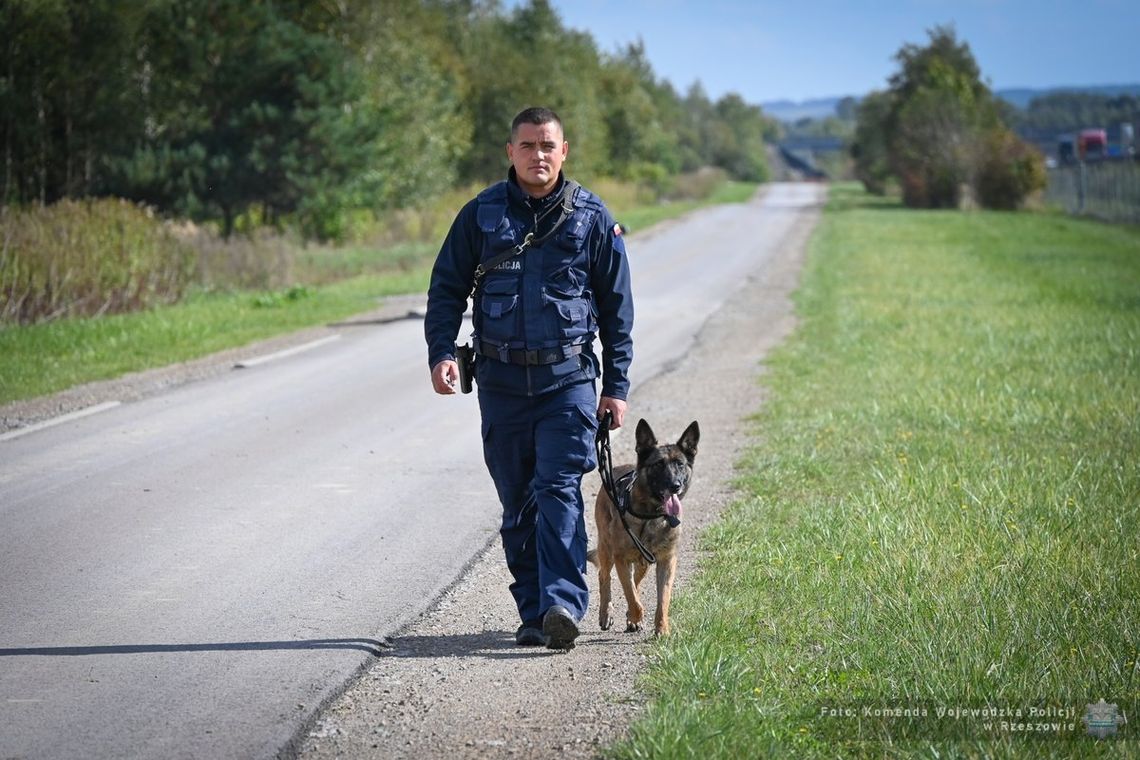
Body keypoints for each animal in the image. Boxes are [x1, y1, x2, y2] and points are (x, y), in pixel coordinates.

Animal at [592, 421, 697, 638]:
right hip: (607, 549)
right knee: (604, 577)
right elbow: (631, 596)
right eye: (658, 464)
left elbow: (662, 598)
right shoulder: (621, 558)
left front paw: (662, 628)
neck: (652, 516)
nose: (675, 486)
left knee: (636, 581)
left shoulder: (666, 561)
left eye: (680, 464)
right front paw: (635, 615)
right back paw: (606, 613)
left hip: (643, 562)